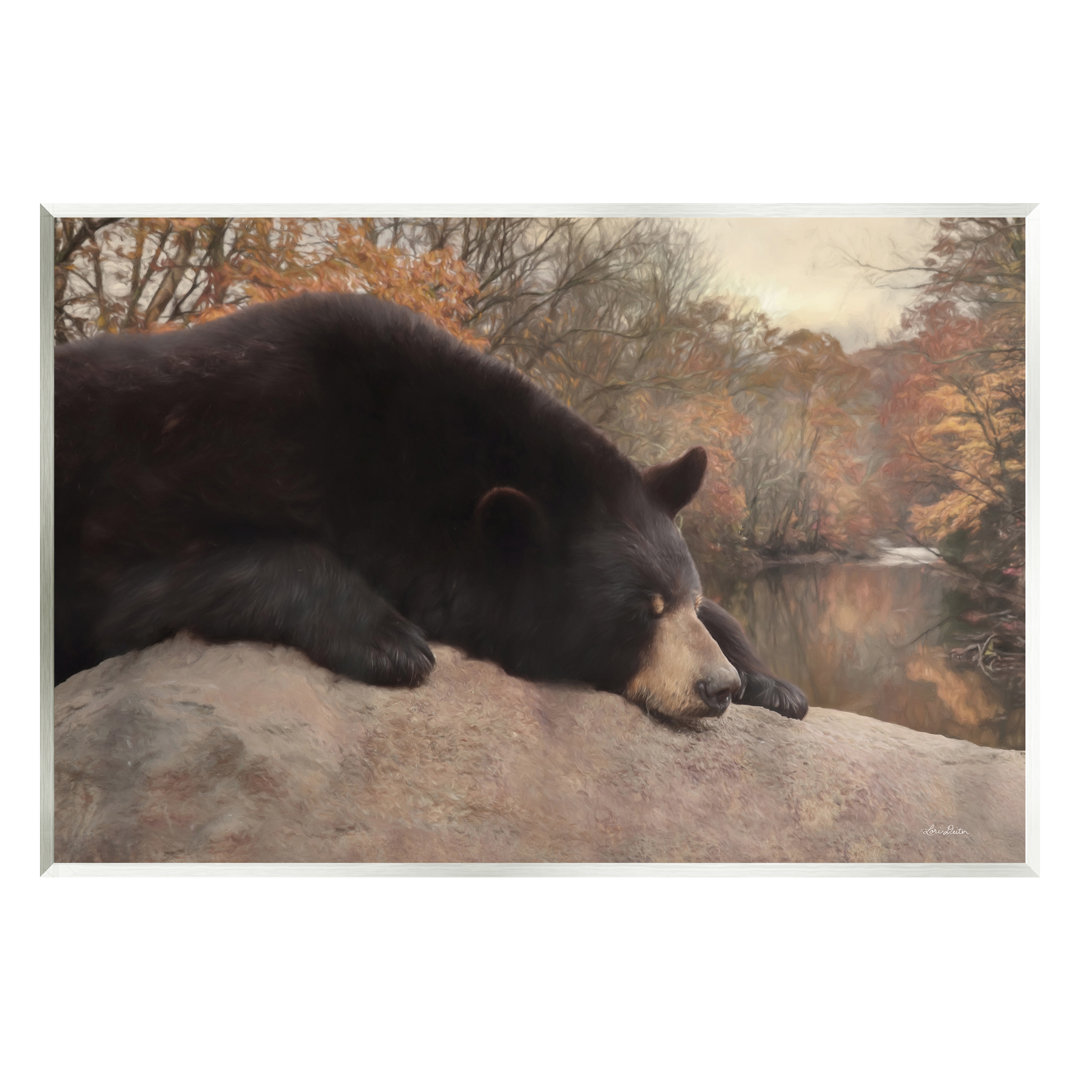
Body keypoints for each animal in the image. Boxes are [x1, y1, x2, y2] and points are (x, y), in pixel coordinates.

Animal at [54, 292, 808, 724]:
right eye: (640, 613)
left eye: (684, 598)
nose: (718, 687)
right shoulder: (180, 469)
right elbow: (158, 581)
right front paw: (391, 640)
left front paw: (774, 681)